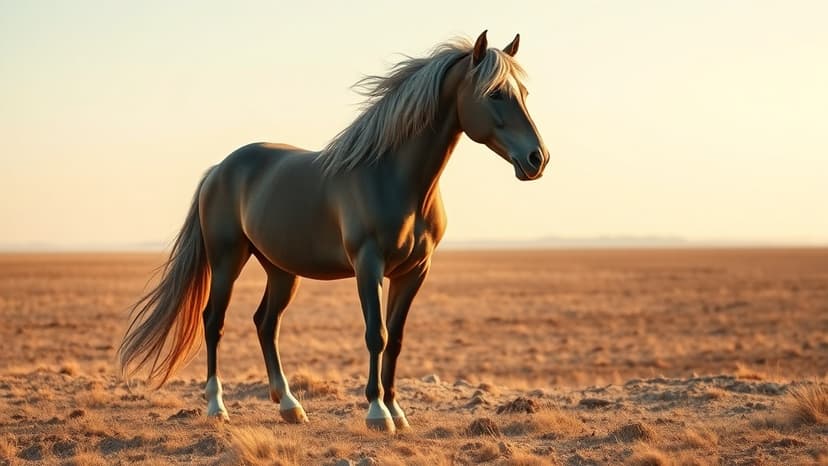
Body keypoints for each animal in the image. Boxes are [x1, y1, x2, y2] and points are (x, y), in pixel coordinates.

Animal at [118, 30, 549, 432]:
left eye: (524, 93)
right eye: (495, 93)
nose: (537, 158)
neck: (393, 178)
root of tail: (219, 169)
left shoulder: (414, 272)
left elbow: (397, 338)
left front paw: (397, 410)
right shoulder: (368, 266)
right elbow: (377, 334)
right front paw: (377, 413)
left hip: (281, 270)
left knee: (266, 324)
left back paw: (289, 405)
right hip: (227, 260)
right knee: (214, 322)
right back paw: (217, 406)